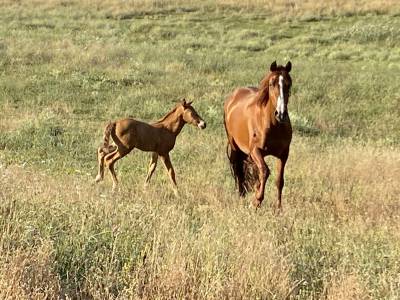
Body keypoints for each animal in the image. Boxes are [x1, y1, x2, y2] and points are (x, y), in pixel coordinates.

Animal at [223, 61, 292, 209]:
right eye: (271, 84)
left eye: (289, 84)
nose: (281, 114)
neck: (273, 126)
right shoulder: (255, 150)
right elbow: (265, 171)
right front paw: (257, 201)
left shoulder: (284, 154)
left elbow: (279, 180)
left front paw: (279, 208)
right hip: (235, 147)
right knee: (239, 170)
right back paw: (241, 196)